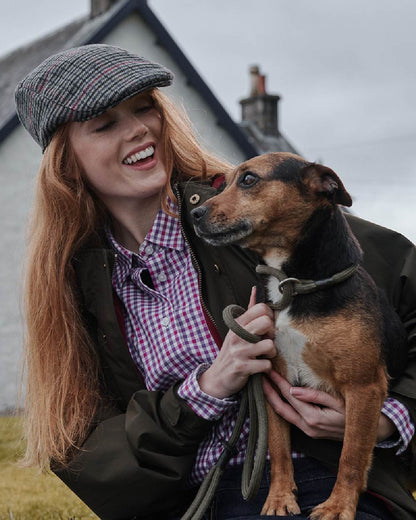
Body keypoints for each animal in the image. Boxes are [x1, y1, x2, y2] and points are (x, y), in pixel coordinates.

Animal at [192, 152, 406, 516]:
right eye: (225, 182)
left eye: (248, 179)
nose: (195, 214)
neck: (293, 285)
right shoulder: (271, 378)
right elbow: (278, 449)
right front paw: (279, 497)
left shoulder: (363, 387)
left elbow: (351, 456)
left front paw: (338, 506)